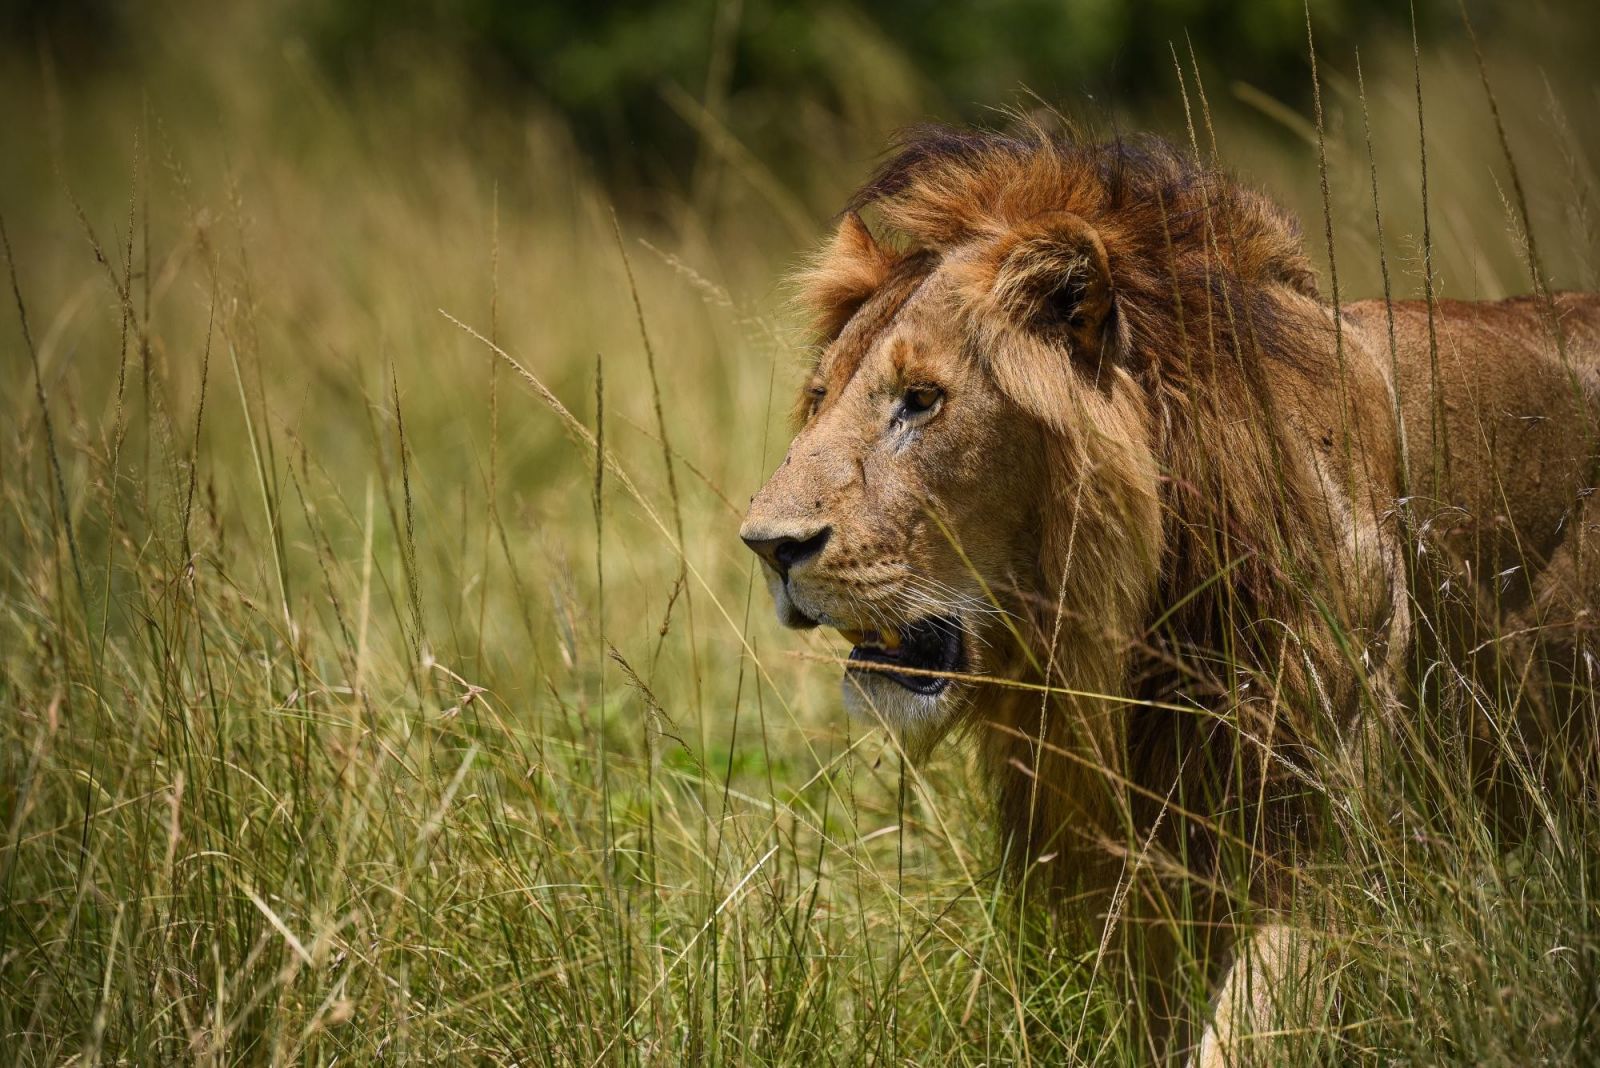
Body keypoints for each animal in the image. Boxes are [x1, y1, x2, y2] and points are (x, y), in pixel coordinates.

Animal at [738, 125, 1600, 1063]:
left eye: (922, 401)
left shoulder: (1327, 842)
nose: (768, 546)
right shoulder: (1144, 879)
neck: (1137, 635)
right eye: (819, 399)